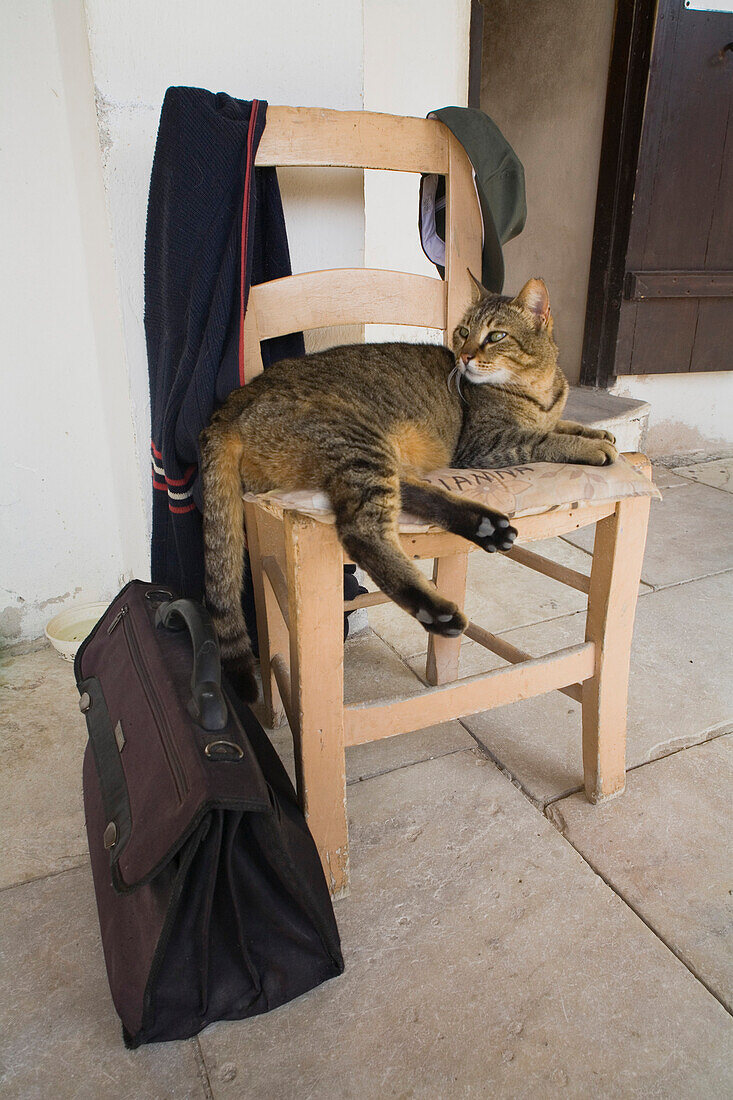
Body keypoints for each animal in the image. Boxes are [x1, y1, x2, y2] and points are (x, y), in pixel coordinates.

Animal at [201, 279, 616, 699]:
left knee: (412, 495)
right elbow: (543, 439)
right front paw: (592, 446)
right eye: (464, 332)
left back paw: (485, 525)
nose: (464, 357)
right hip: (360, 446)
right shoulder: (483, 444)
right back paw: (435, 609)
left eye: (496, 336)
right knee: (362, 531)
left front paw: (597, 433)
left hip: (375, 459)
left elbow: (562, 425)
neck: (540, 388)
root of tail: (230, 404)